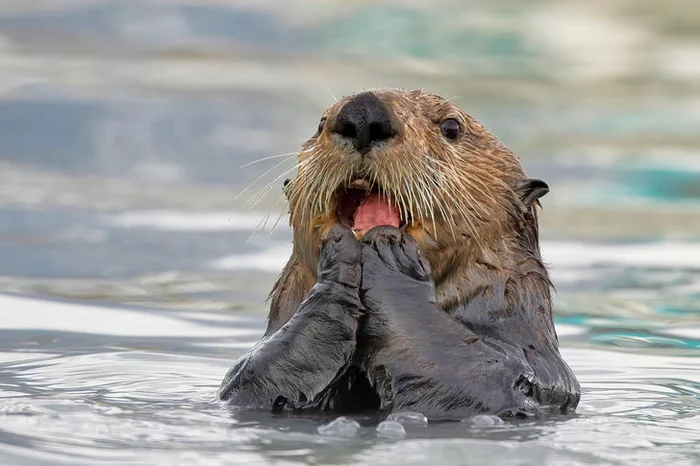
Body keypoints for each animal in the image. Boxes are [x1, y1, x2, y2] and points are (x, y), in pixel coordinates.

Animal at [219, 87, 580, 418]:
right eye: (319, 123)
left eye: (451, 127)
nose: (363, 114)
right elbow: (253, 381)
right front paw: (339, 254)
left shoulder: (540, 369)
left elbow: (477, 375)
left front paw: (388, 251)